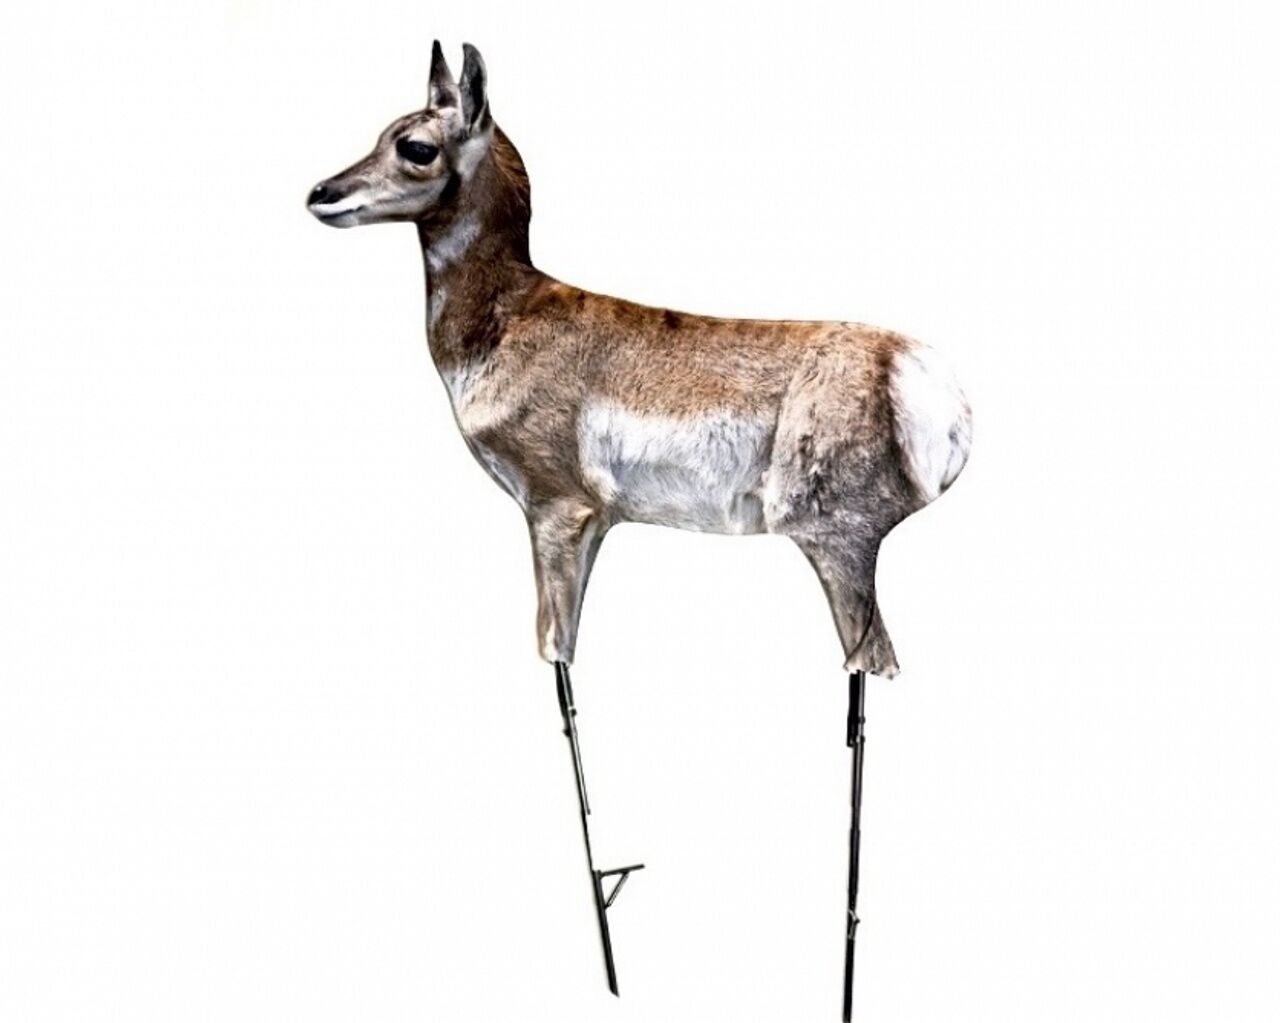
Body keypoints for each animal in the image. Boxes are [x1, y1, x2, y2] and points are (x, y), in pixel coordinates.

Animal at [307, 42, 971, 1018]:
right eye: (383, 127)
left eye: (417, 145)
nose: (320, 193)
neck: (515, 313)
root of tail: (928, 379)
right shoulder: (593, 526)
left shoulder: (557, 512)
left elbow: (556, 659)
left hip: (836, 547)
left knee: (869, 672)